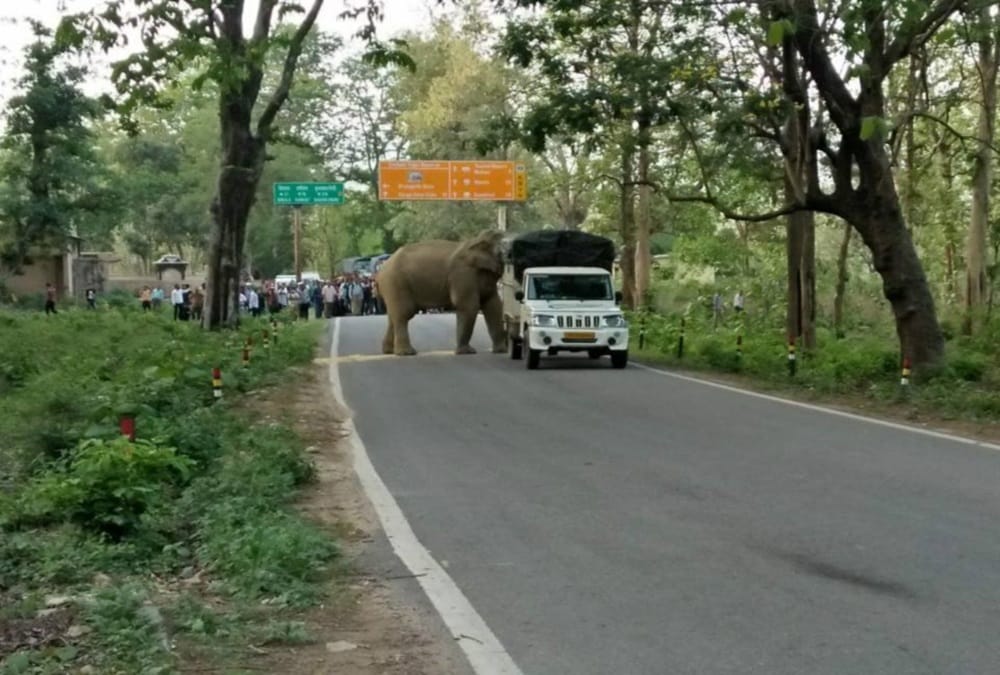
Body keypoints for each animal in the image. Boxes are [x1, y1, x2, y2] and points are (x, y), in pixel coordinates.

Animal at [376, 229, 508, 356]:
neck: (475, 240)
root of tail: (381, 270)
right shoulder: (462, 274)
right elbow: (468, 305)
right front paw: (466, 352)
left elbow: (494, 306)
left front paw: (501, 351)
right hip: (395, 282)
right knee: (404, 314)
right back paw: (406, 353)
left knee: (393, 316)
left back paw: (389, 351)